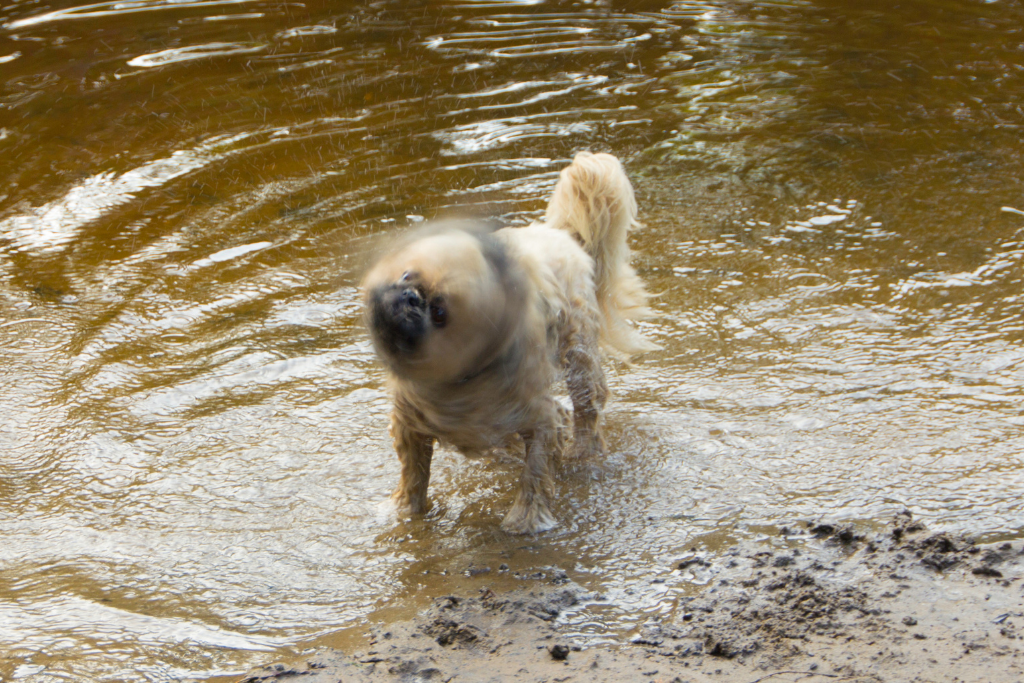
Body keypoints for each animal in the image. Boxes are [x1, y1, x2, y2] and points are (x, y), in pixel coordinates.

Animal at [364, 153, 659, 532]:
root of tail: (558, 234)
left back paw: (584, 452)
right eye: (405, 275)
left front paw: (526, 519)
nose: (409, 296)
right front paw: (403, 510)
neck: (455, 385)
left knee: (587, 408)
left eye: (440, 311)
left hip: (578, 356)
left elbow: (535, 473)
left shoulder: (541, 418)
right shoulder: (409, 426)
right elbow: (413, 476)